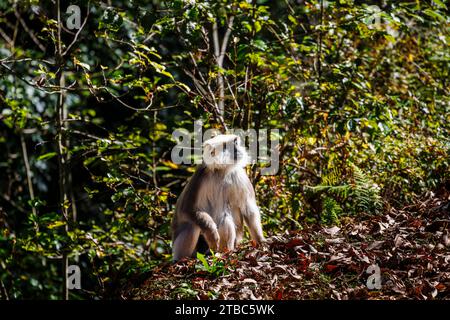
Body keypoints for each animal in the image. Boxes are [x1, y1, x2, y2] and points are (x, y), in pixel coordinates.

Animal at [171, 134, 264, 262]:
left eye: (236, 143)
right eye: (228, 146)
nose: (238, 149)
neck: (221, 171)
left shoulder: (239, 175)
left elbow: (248, 209)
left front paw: (260, 241)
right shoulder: (200, 175)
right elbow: (187, 209)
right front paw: (211, 232)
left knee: (225, 219)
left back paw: (223, 252)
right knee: (193, 225)